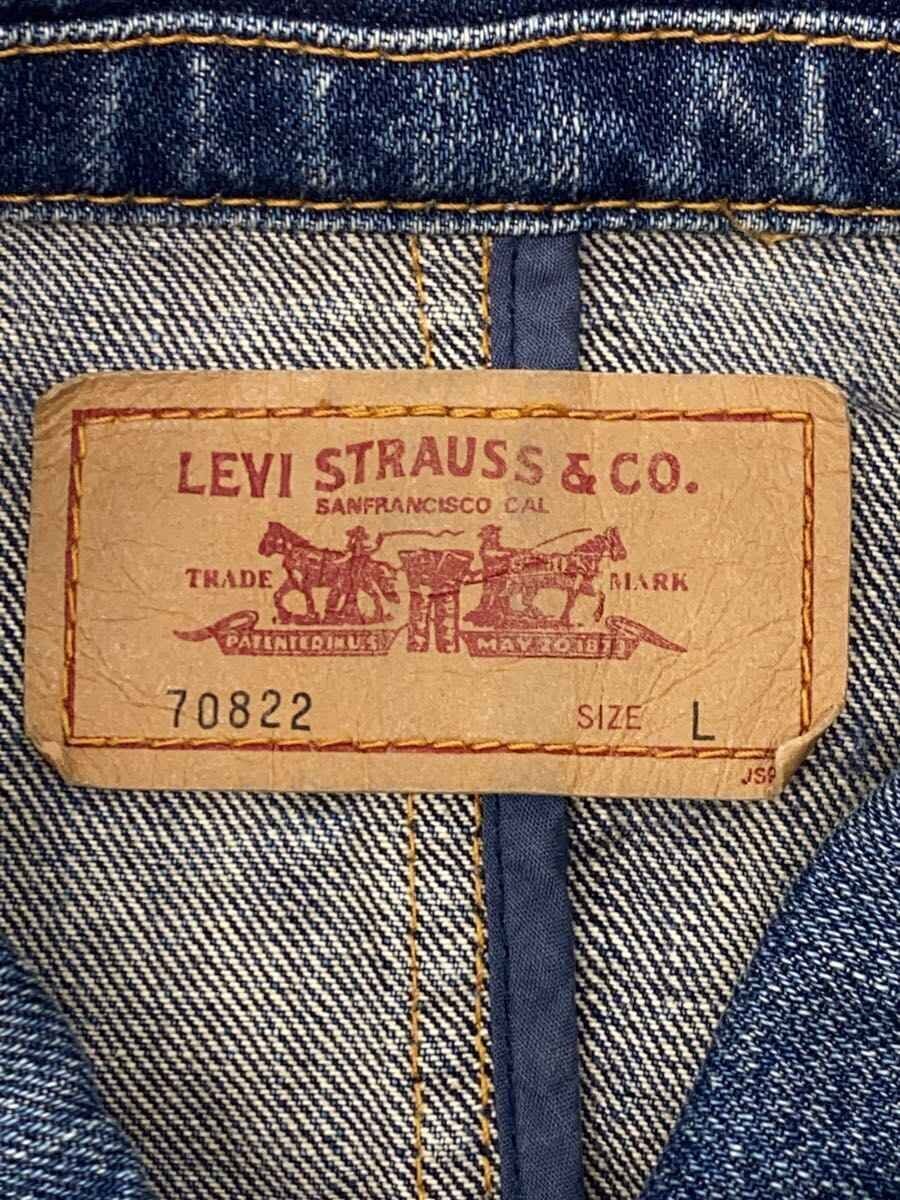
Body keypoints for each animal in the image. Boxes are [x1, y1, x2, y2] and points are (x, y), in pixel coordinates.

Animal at [257, 521, 400, 625]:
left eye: (267, 535)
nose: (260, 550)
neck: (297, 552)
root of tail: (369, 562)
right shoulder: (293, 582)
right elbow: (277, 595)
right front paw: (285, 614)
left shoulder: (306, 583)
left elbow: (309, 600)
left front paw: (310, 618)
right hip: (362, 585)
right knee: (375, 596)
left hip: (359, 584)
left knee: (374, 596)